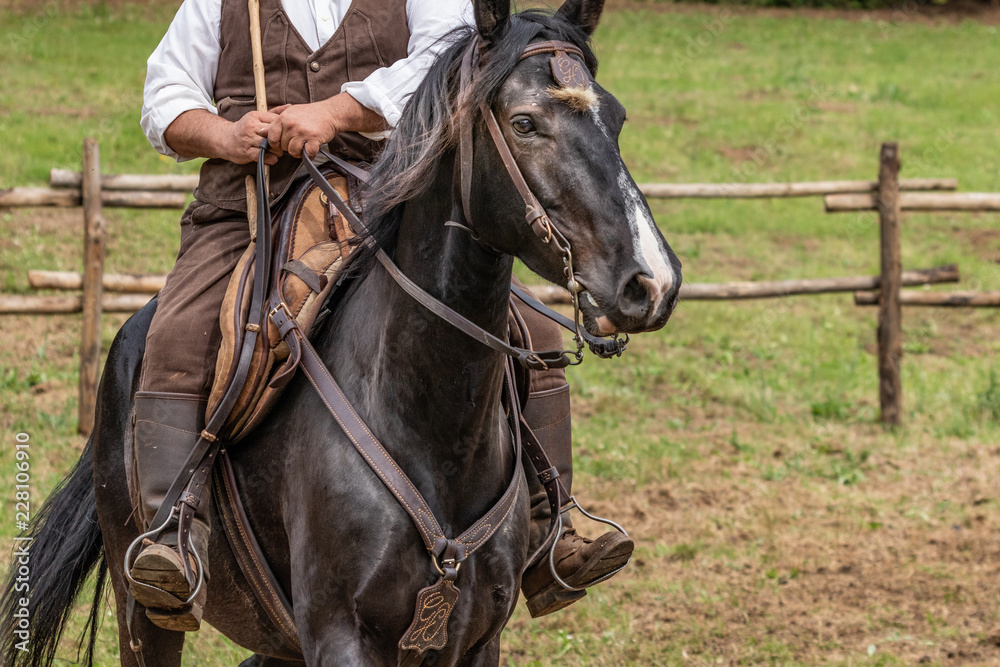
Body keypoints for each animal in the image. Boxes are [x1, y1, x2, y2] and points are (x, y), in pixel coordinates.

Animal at [0, 0, 681, 664]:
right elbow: (169, 93)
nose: (652, 283)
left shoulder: (476, 638)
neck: (426, 420)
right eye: (524, 123)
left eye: (617, 118)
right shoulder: (340, 634)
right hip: (143, 611)